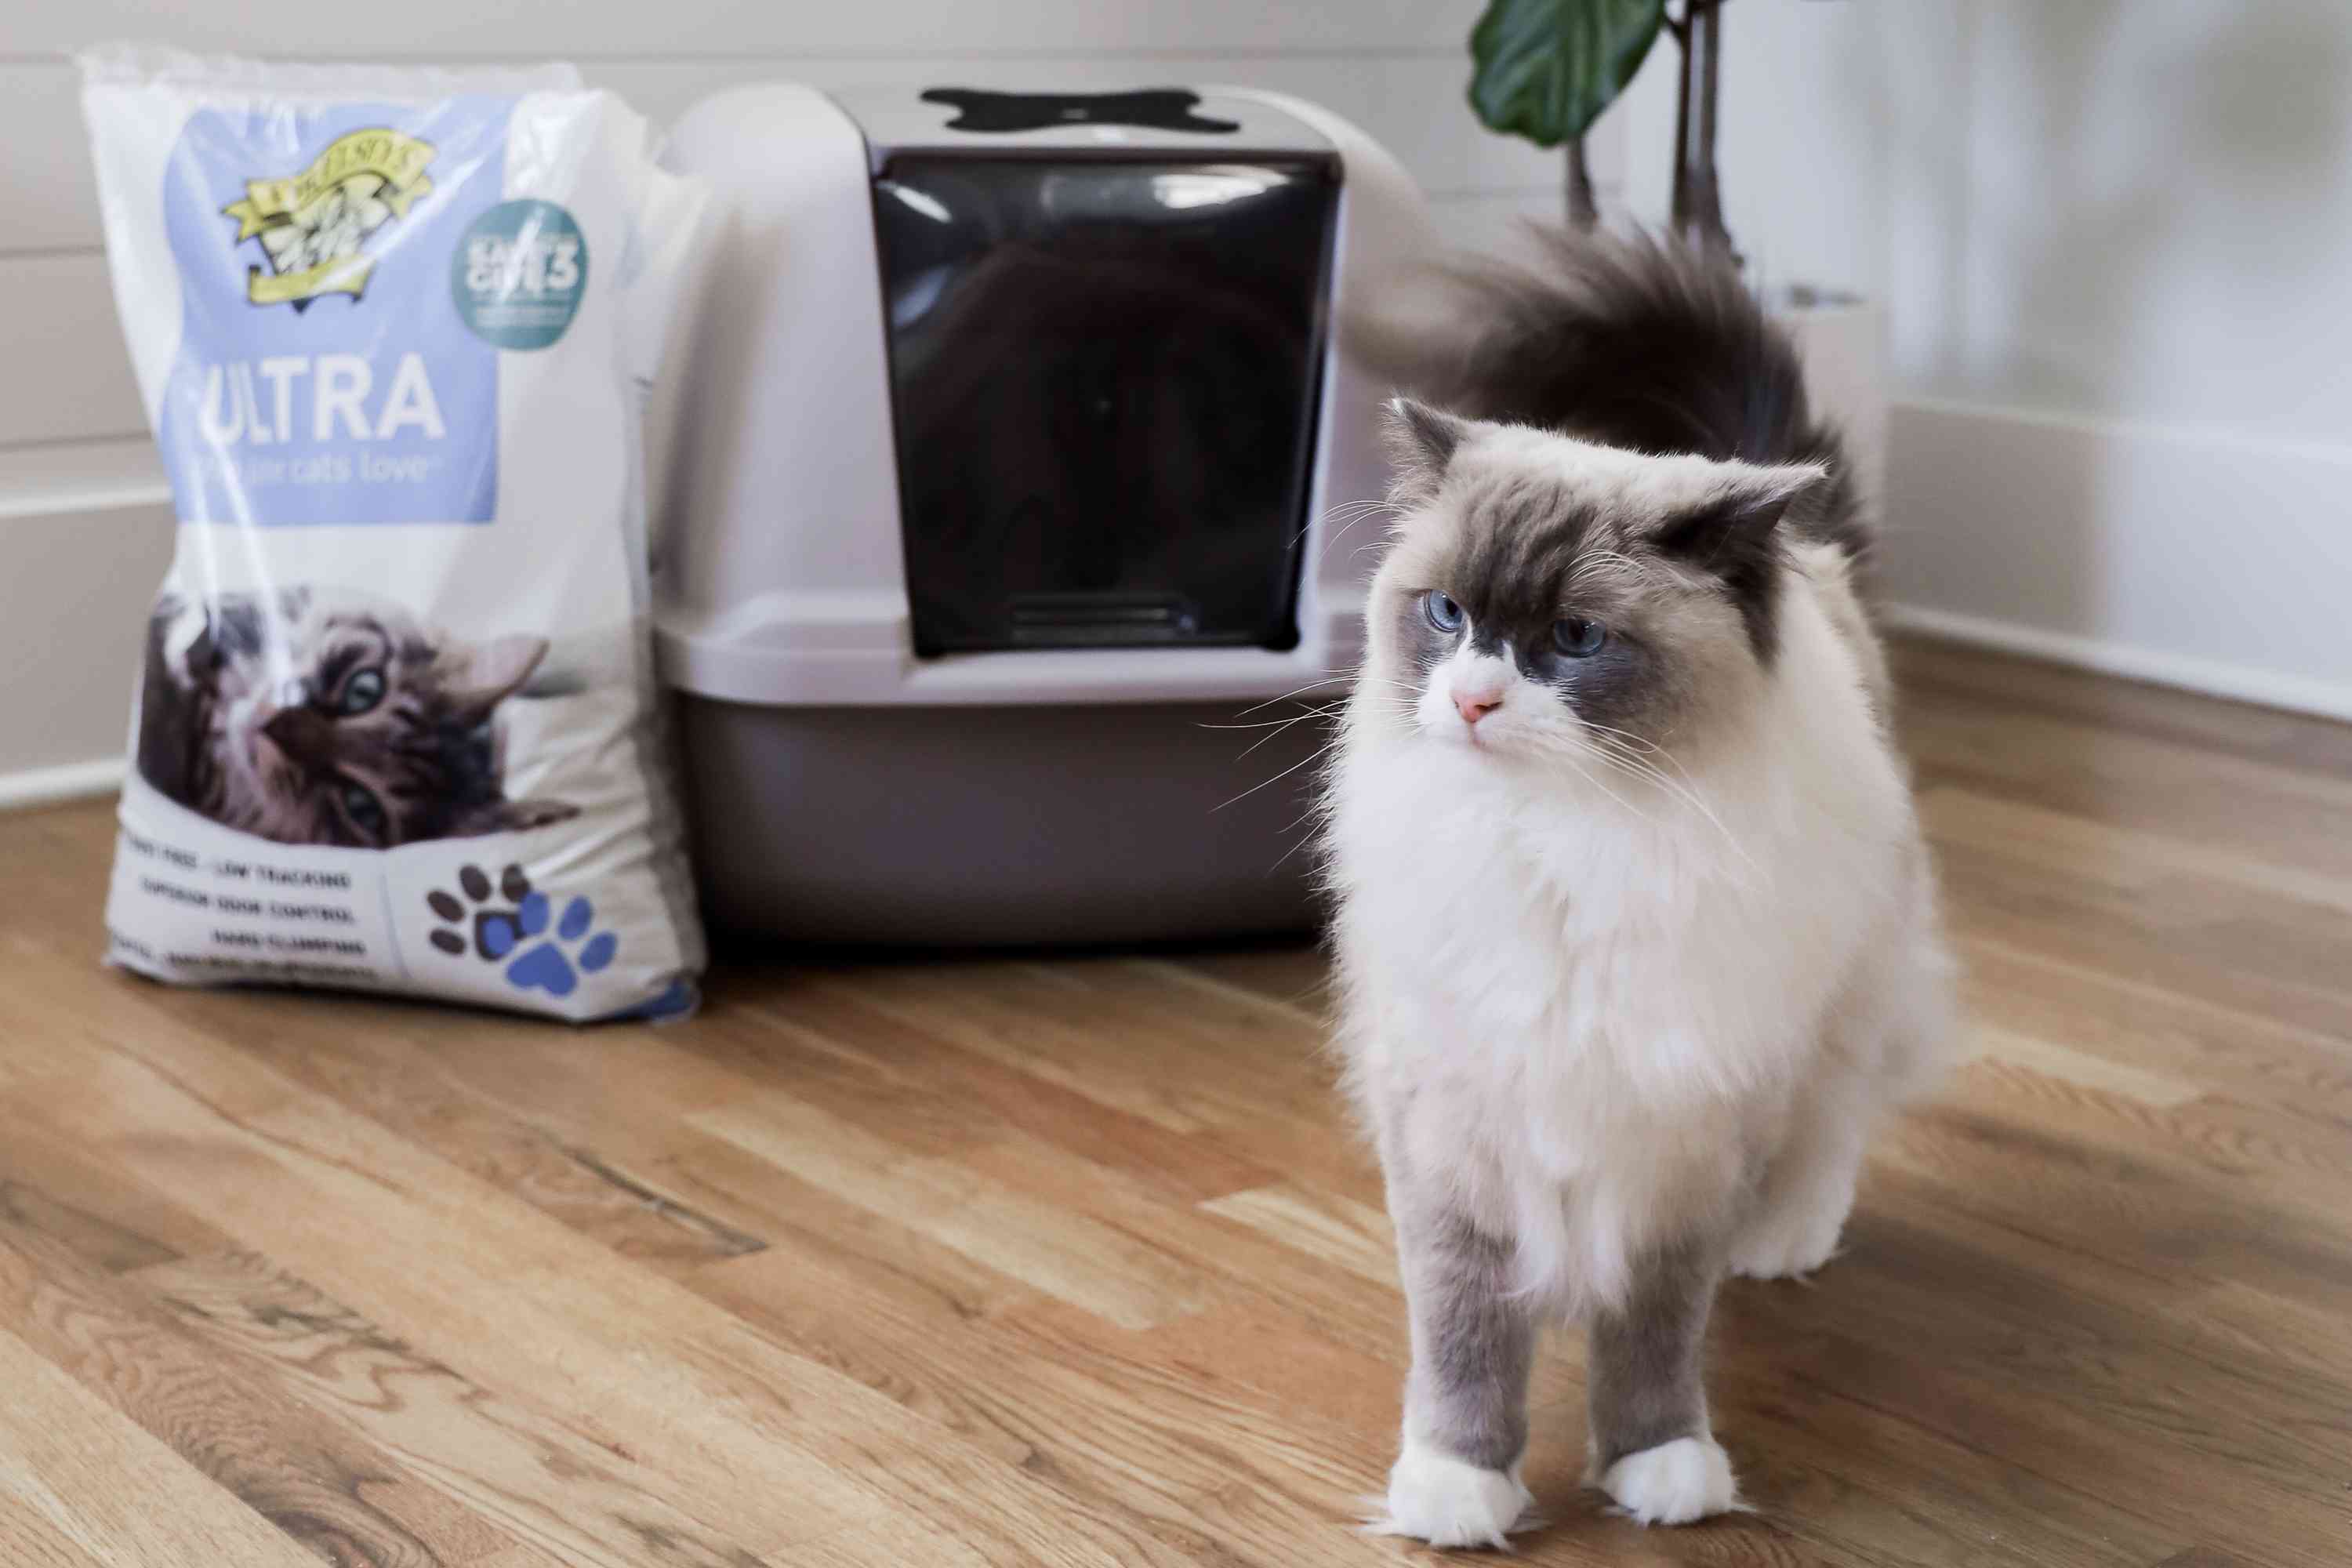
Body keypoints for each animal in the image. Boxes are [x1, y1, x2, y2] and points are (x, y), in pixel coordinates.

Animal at [1336, 232, 1957, 1542]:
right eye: (1447, 614)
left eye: (1574, 640)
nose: (1474, 700)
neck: (1564, 848)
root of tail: (1804, 539)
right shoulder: (1453, 1131)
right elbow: (1464, 1336)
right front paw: (1458, 1490)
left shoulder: (1681, 1135)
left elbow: (1657, 1330)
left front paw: (1659, 1469)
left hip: (1841, 999)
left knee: (1831, 1123)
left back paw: (1782, 1243)